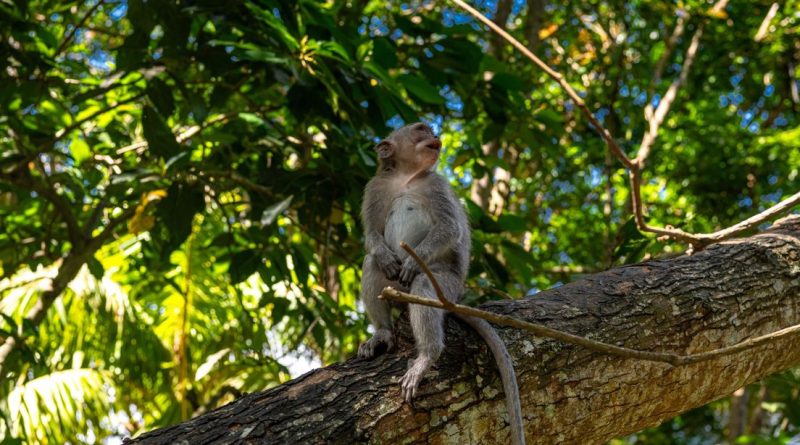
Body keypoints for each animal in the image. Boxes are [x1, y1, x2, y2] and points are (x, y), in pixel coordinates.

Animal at [358, 122, 525, 445]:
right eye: (421, 129)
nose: (435, 135)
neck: (406, 178)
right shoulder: (375, 188)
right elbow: (373, 236)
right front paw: (385, 255)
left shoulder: (435, 185)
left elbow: (449, 227)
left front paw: (413, 261)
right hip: (397, 289)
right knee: (371, 264)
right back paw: (383, 332)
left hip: (446, 285)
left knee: (424, 285)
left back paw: (427, 355)